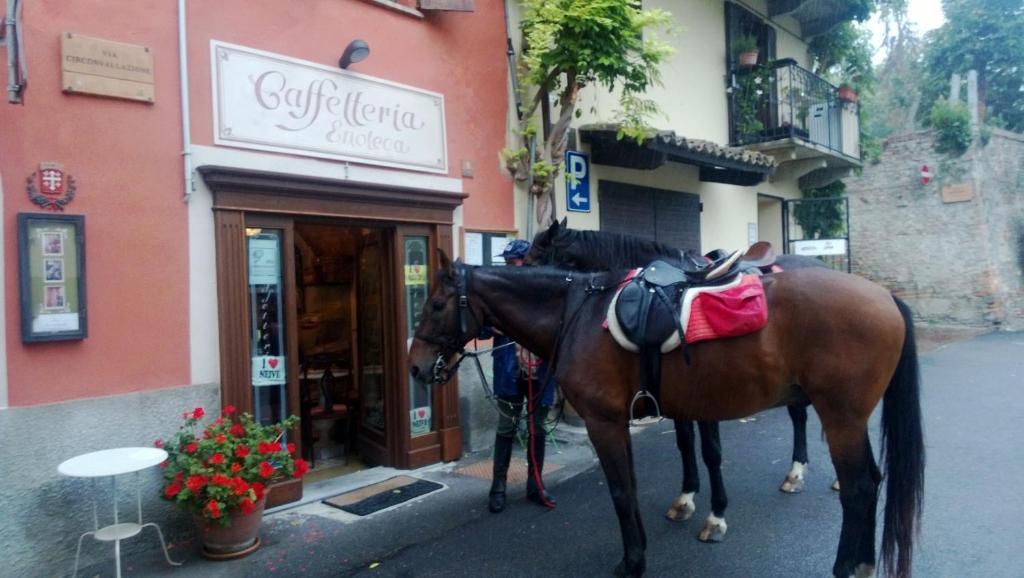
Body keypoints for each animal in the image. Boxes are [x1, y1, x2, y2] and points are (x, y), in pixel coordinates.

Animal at [409, 253, 929, 578]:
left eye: (436, 304)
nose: (415, 366)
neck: (579, 314)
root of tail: (885, 297)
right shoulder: (634, 419)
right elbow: (639, 485)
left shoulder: (604, 422)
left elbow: (622, 492)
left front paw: (633, 561)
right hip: (848, 419)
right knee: (871, 481)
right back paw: (861, 562)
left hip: (840, 418)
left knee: (859, 488)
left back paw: (844, 565)